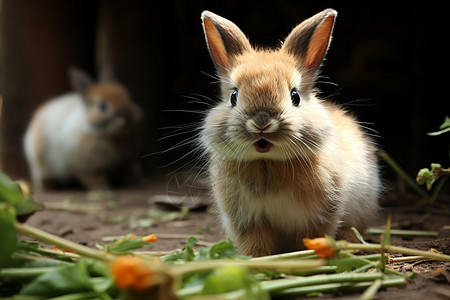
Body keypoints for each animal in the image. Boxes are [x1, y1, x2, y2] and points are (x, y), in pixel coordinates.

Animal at [200, 9, 380, 258]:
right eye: (233, 97)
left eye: (295, 96)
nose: (262, 123)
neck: (268, 162)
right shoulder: (250, 221)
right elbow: (255, 244)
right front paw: (255, 260)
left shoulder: (318, 217)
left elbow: (308, 238)